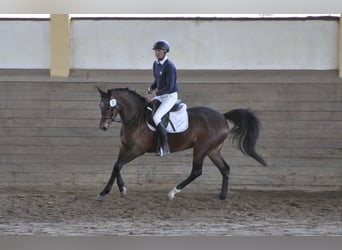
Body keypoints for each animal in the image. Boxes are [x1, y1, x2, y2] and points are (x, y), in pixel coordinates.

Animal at [96, 87, 268, 200]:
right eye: (100, 106)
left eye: (109, 106)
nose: (103, 127)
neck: (136, 119)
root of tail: (222, 116)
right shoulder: (124, 148)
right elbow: (116, 167)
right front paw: (105, 192)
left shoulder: (137, 150)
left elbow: (118, 165)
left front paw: (122, 189)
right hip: (213, 150)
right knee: (225, 169)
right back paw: (222, 195)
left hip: (201, 148)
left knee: (197, 171)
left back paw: (173, 192)